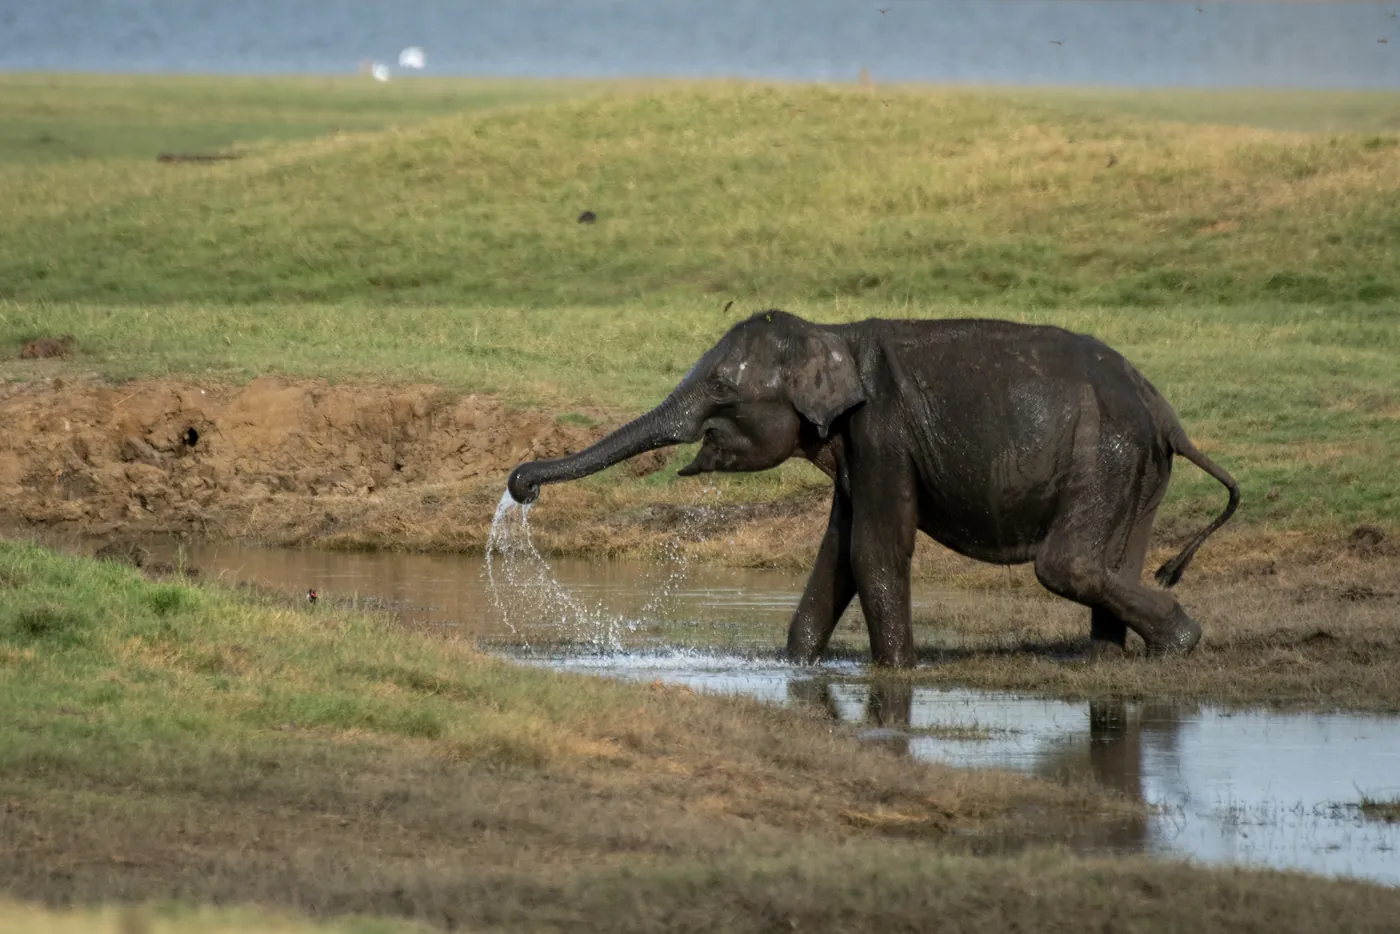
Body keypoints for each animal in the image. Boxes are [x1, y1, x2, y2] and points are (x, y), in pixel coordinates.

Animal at [507, 310, 1239, 668]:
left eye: (718, 386)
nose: (520, 486)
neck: (834, 335)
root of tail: (1165, 410)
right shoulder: (857, 450)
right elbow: (836, 558)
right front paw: (798, 664)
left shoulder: (882, 434)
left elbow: (873, 553)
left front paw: (895, 672)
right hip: (1135, 466)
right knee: (1117, 562)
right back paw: (1109, 662)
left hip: (1107, 453)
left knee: (1070, 565)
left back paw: (1179, 644)